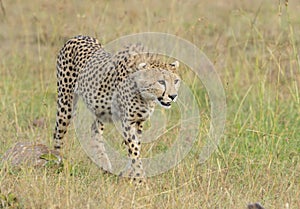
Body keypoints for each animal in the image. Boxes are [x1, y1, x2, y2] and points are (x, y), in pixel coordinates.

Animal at [53, 35, 180, 182]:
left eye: (176, 81)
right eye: (161, 81)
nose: (173, 96)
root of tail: (78, 36)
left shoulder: (139, 122)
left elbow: (136, 147)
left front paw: (128, 173)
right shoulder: (128, 122)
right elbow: (134, 149)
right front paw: (140, 179)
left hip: (99, 111)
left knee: (94, 128)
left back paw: (103, 163)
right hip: (66, 105)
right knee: (58, 133)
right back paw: (57, 162)